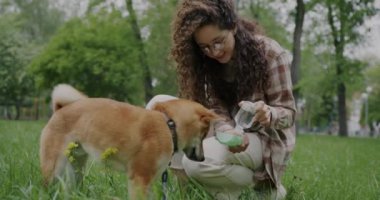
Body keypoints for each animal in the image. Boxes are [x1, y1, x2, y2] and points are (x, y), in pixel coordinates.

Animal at [39, 83, 221, 199]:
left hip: (76, 168)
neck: (170, 125)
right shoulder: (139, 178)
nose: (202, 158)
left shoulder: (148, 181)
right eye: (204, 134)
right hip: (54, 168)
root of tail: (61, 108)